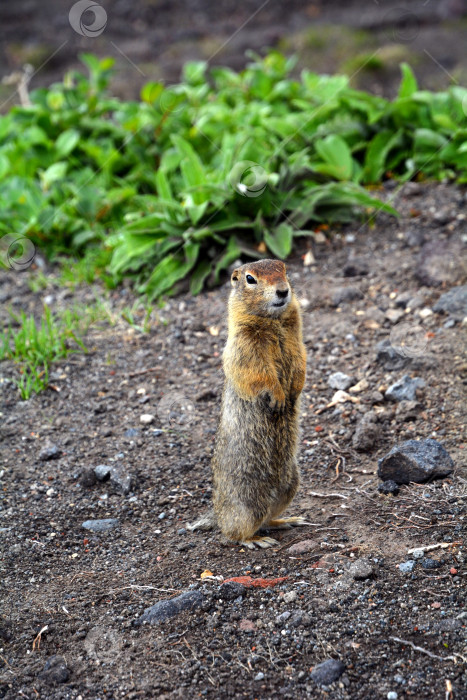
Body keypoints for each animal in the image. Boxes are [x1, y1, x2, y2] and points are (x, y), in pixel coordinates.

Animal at [188, 260, 308, 548]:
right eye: (250, 279)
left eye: (284, 269)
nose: (283, 291)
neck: (273, 322)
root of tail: (217, 514)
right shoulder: (244, 345)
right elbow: (257, 372)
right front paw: (278, 396)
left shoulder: (297, 339)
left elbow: (301, 360)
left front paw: (296, 389)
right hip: (246, 502)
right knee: (234, 532)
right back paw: (255, 540)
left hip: (291, 484)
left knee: (267, 518)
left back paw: (285, 521)